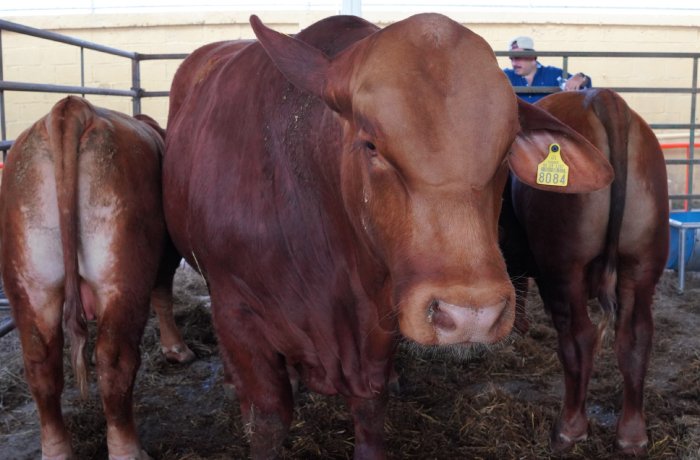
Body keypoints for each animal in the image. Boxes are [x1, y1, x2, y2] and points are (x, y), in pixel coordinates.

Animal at [0, 96, 194, 460]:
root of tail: (73, 108)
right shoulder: (165, 257)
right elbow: (163, 296)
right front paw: (177, 349)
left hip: (30, 280)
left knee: (41, 363)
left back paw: (57, 450)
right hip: (121, 276)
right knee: (115, 361)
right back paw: (128, 450)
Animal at [163, 14, 613, 458]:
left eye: (505, 153)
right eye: (371, 145)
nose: (473, 314)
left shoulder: (377, 326)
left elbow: (369, 409)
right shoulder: (237, 311)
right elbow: (269, 419)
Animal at [500, 89, 669, 455]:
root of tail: (601, 96)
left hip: (564, 267)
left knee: (578, 337)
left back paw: (569, 428)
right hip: (641, 262)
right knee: (636, 336)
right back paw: (632, 435)